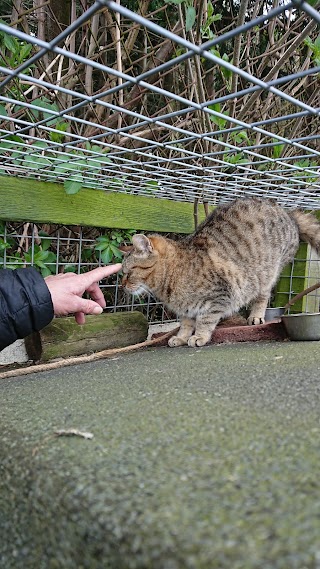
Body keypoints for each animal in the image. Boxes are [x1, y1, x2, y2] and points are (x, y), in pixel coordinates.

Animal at [122, 197, 320, 344]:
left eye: (128, 272)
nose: (122, 285)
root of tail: (287, 213)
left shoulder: (220, 294)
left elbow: (205, 320)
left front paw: (199, 336)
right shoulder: (186, 309)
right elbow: (186, 323)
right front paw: (181, 337)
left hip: (267, 273)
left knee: (263, 296)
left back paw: (256, 316)